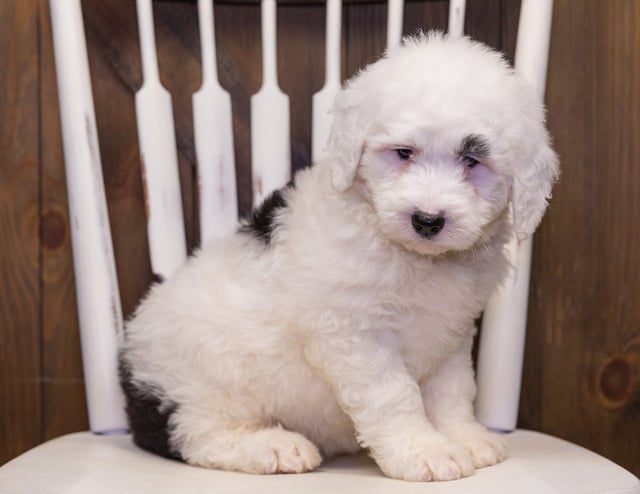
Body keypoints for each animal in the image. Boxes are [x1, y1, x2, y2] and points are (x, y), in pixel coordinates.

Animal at [120, 32, 560, 480]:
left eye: (472, 160)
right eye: (404, 152)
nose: (427, 220)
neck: (414, 256)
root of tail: (129, 370)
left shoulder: (451, 332)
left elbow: (452, 390)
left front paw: (465, 437)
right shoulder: (352, 331)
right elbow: (394, 395)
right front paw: (423, 451)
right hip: (197, 387)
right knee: (197, 436)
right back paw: (273, 446)